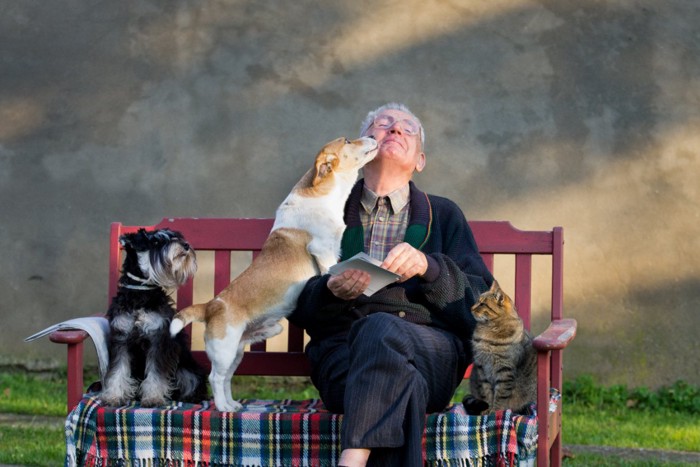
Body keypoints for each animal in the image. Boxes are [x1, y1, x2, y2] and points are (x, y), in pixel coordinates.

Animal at [170, 136, 378, 414]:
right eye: (347, 140)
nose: (374, 137)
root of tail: (210, 305)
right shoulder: (323, 251)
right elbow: (328, 272)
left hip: (237, 352)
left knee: (226, 379)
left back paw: (232, 404)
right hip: (224, 350)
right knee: (215, 377)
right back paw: (223, 407)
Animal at [464, 280, 536, 414]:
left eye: (482, 304)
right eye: (477, 301)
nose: (471, 308)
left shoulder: (505, 371)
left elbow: (500, 396)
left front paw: (494, 411)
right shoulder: (482, 368)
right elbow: (486, 393)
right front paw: (487, 410)